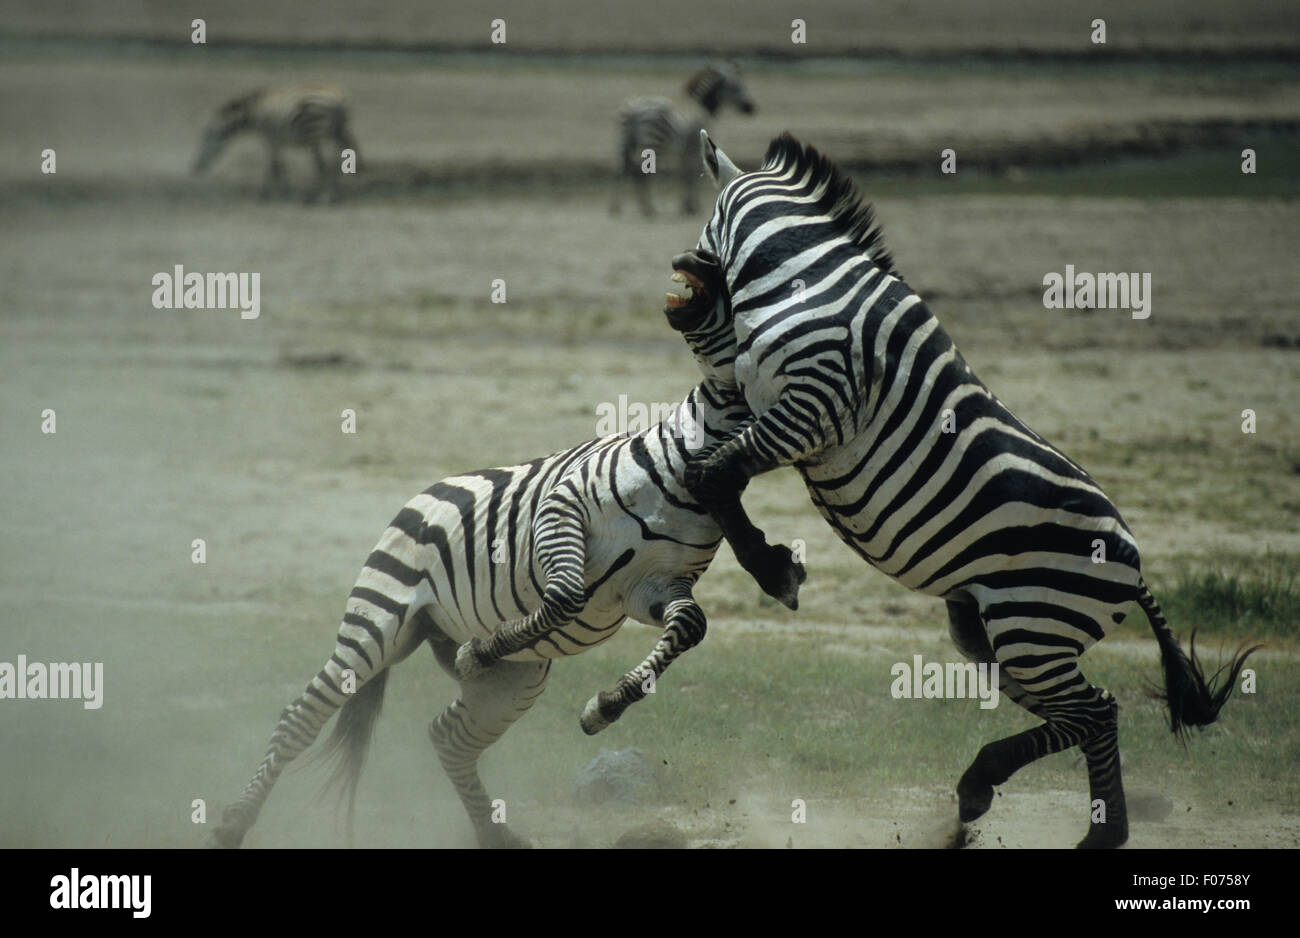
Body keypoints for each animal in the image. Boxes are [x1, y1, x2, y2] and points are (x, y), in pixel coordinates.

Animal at [191, 82, 361, 202]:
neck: (254, 114)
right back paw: (334, 194)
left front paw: (267, 194)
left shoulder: (269, 139)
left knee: (322, 167)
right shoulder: (276, 140)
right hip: (337, 133)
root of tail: (340, 99)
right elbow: (278, 166)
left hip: (315, 133)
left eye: (206, 141)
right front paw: (283, 191)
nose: (195, 168)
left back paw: (322, 197)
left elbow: (274, 167)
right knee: (334, 163)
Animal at [208, 306, 755, 849]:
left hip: (512, 682)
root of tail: (425, 491)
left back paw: (496, 834)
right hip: (377, 625)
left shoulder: (654, 586)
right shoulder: (562, 512)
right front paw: (483, 649)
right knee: (298, 718)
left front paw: (605, 706)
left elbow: (690, 625)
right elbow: (566, 597)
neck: (680, 476)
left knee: (446, 737)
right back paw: (235, 821)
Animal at [612, 62, 755, 217]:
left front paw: (686, 206)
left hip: (625, 143)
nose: (750, 108)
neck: (704, 110)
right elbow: (692, 174)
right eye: (735, 87)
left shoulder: (684, 152)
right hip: (654, 143)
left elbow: (684, 175)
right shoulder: (696, 149)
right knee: (642, 174)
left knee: (621, 170)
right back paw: (649, 208)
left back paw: (616, 207)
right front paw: (693, 207)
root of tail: (635, 110)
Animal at [661, 130, 1259, 848]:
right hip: (995, 631)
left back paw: (1053, 815)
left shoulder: (811, 408)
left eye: (704, 234)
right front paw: (771, 560)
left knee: (1091, 710)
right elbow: (714, 472)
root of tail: (1137, 562)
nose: (676, 288)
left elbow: (712, 475)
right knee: (1088, 712)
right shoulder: (764, 410)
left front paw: (773, 569)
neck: (804, 284)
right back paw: (1019, 802)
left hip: (1033, 626)